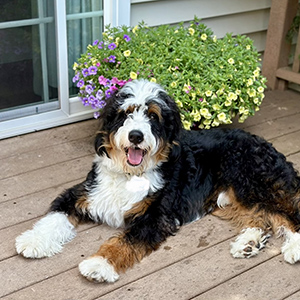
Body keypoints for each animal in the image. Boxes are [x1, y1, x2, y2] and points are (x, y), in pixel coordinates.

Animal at [15, 79, 300, 282]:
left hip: (251, 182)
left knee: (287, 213)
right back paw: (248, 243)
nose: (136, 136)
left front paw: (100, 264)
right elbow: (55, 216)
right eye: (126, 113)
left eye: (153, 116)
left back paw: (294, 248)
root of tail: (267, 146)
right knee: (261, 216)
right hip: (230, 197)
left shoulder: (156, 215)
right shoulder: (83, 193)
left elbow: (126, 240)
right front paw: (34, 240)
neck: (130, 175)